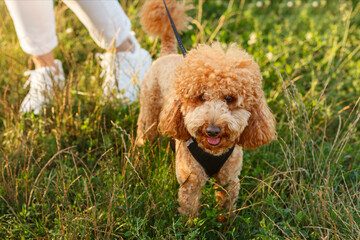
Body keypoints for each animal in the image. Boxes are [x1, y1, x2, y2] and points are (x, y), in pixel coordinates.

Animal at [136, 0, 276, 218]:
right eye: (201, 97)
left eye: (230, 98)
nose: (212, 130)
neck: (213, 152)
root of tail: (167, 52)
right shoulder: (191, 182)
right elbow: (190, 214)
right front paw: (189, 225)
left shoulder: (230, 180)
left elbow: (227, 209)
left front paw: (225, 223)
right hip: (149, 111)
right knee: (144, 135)